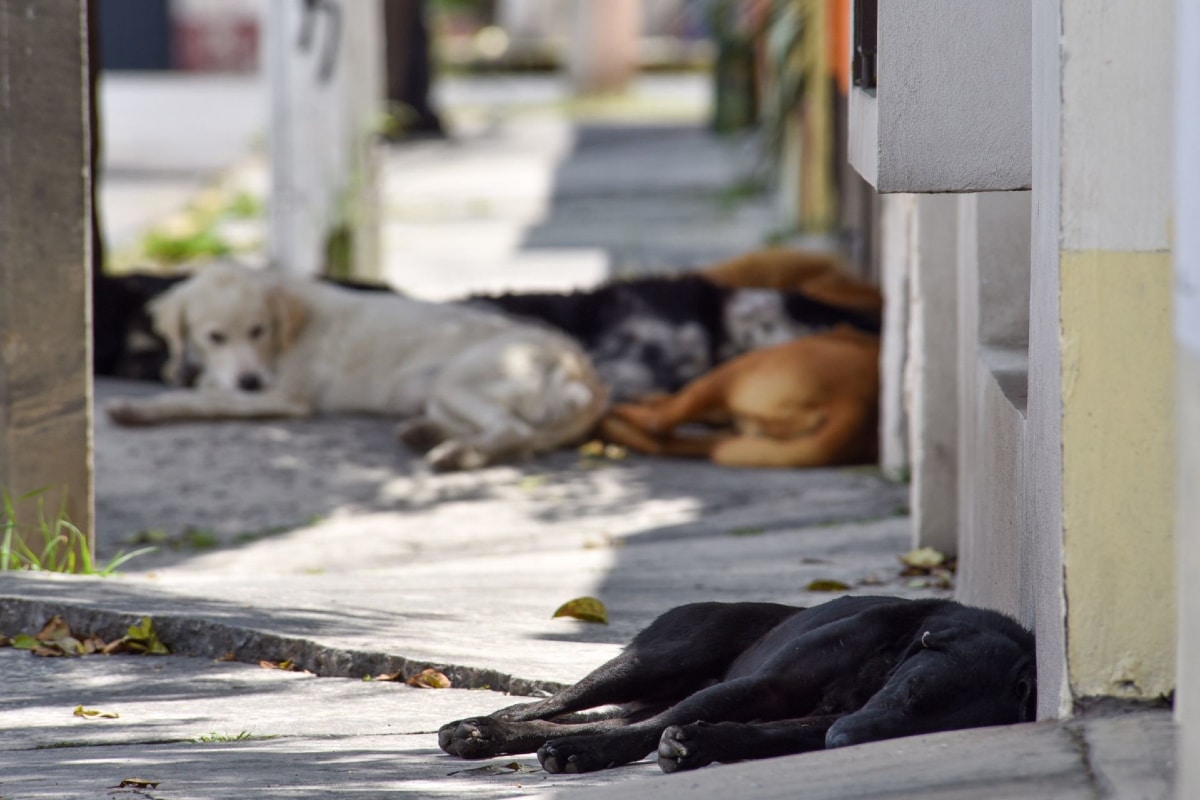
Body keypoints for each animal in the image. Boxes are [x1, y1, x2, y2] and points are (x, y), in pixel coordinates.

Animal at [105, 262, 609, 470]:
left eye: (259, 330)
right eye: (214, 337)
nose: (249, 381)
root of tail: (580, 368)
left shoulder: (287, 397)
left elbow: (201, 398)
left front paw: (141, 409)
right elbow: (207, 385)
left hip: (457, 381)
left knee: (514, 432)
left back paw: (455, 453)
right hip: (438, 392)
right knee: (517, 437)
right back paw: (428, 434)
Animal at [436, 594, 1036, 777]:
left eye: (924, 732)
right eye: (915, 695)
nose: (841, 743)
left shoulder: (814, 720)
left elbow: (760, 735)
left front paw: (699, 743)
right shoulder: (765, 685)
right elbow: (655, 727)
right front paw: (593, 753)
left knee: (588, 718)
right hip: (658, 659)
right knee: (557, 703)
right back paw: (477, 727)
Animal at [604, 326, 878, 470]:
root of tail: (854, 401)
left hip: (735, 371)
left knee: (660, 424)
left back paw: (617, 414)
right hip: (741, 432)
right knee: (666, 440)